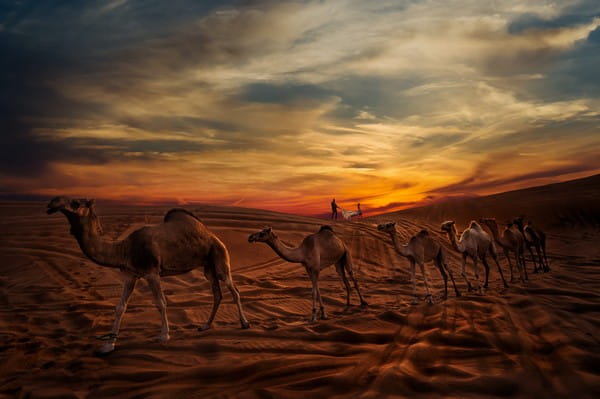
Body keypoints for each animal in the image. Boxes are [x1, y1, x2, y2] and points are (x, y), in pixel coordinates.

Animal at [46, 197, 248, 356]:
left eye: (75, 202)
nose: (52, 202)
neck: (124, 249)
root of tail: (213, 235)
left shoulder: (152, 273)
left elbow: (160, 303)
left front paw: (164, 335)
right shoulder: (130, 276)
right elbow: (120, 307)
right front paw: (108, 345)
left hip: (220, 258)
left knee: (234, 290)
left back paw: (244, 323)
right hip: (207, 267)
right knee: (217, 293)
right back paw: (205, 325)